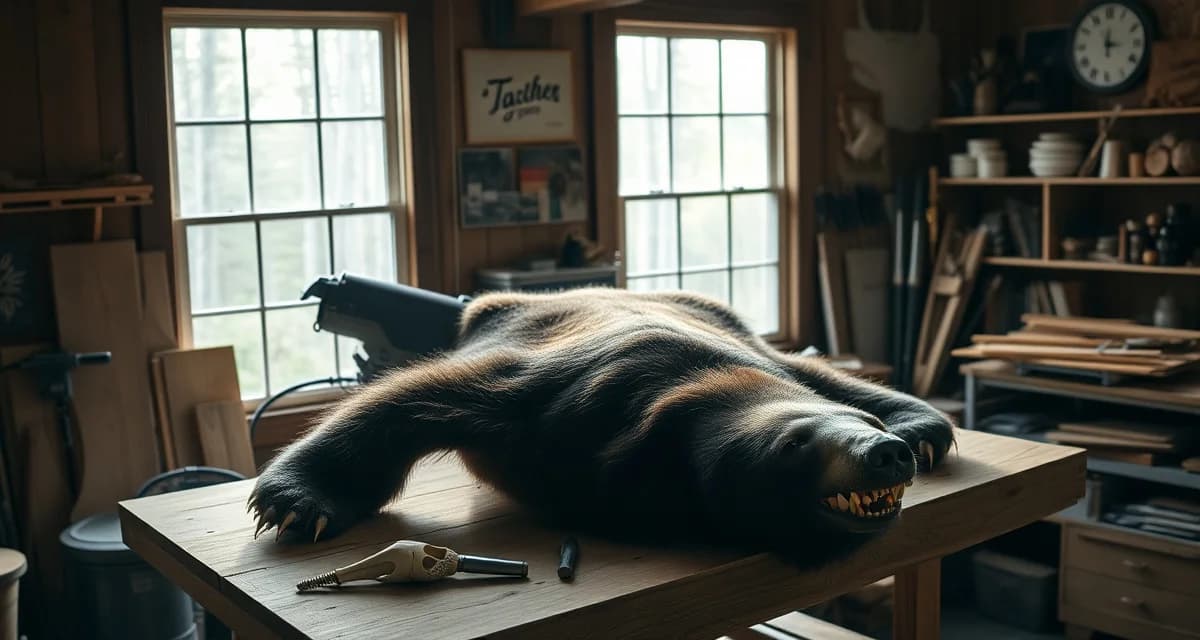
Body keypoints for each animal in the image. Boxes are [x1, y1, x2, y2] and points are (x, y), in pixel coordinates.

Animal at [249, 288, 955, 564]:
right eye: (796, 444)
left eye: (862, 424)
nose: (886, 451)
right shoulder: (562, 398)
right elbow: (418, 397)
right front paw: (297, 500)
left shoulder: (751, 358)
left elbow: (822, 373)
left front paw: (921, 427)